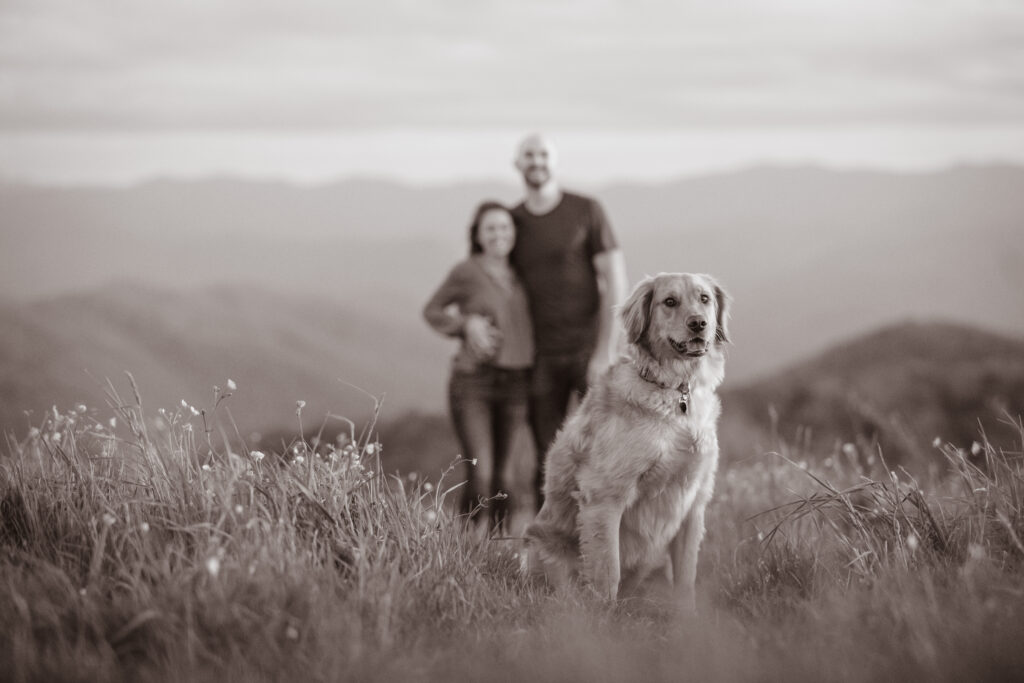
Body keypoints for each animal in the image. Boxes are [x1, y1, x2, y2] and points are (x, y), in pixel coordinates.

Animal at [528, 272, 729, 610]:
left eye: (704, 299)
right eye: (669, 302)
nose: (698, 323)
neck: (674, 391)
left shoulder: (694, 500)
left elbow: (686, 577)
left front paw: (688, 619)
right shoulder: (605, 495)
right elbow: (608, 570)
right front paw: (605, 618)